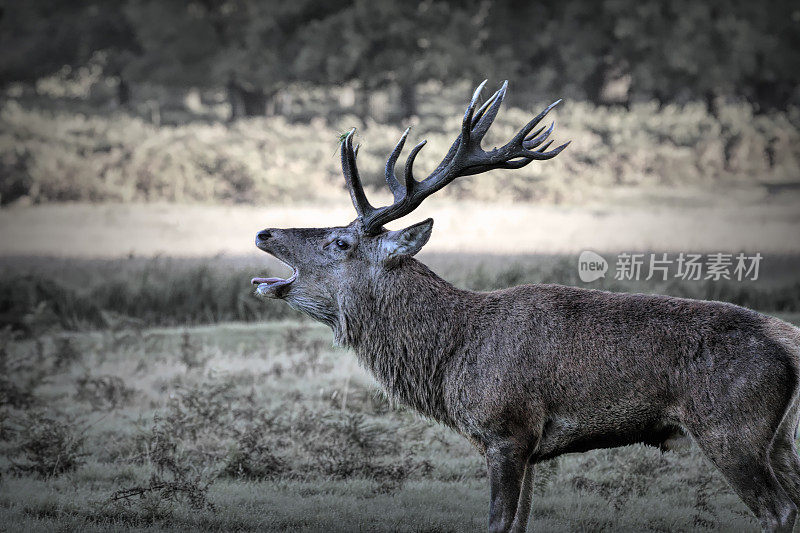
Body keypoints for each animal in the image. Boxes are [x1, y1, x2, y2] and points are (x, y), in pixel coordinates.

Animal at [250, 80, 800, 532]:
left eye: (340, 242)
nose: (264, 231)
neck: (448, 360)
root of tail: (789, 343)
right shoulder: (532, 447)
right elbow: (520, 522)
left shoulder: (506, 428)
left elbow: (498, 523)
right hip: (781, 439)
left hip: (731, 428)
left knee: (778, 510)